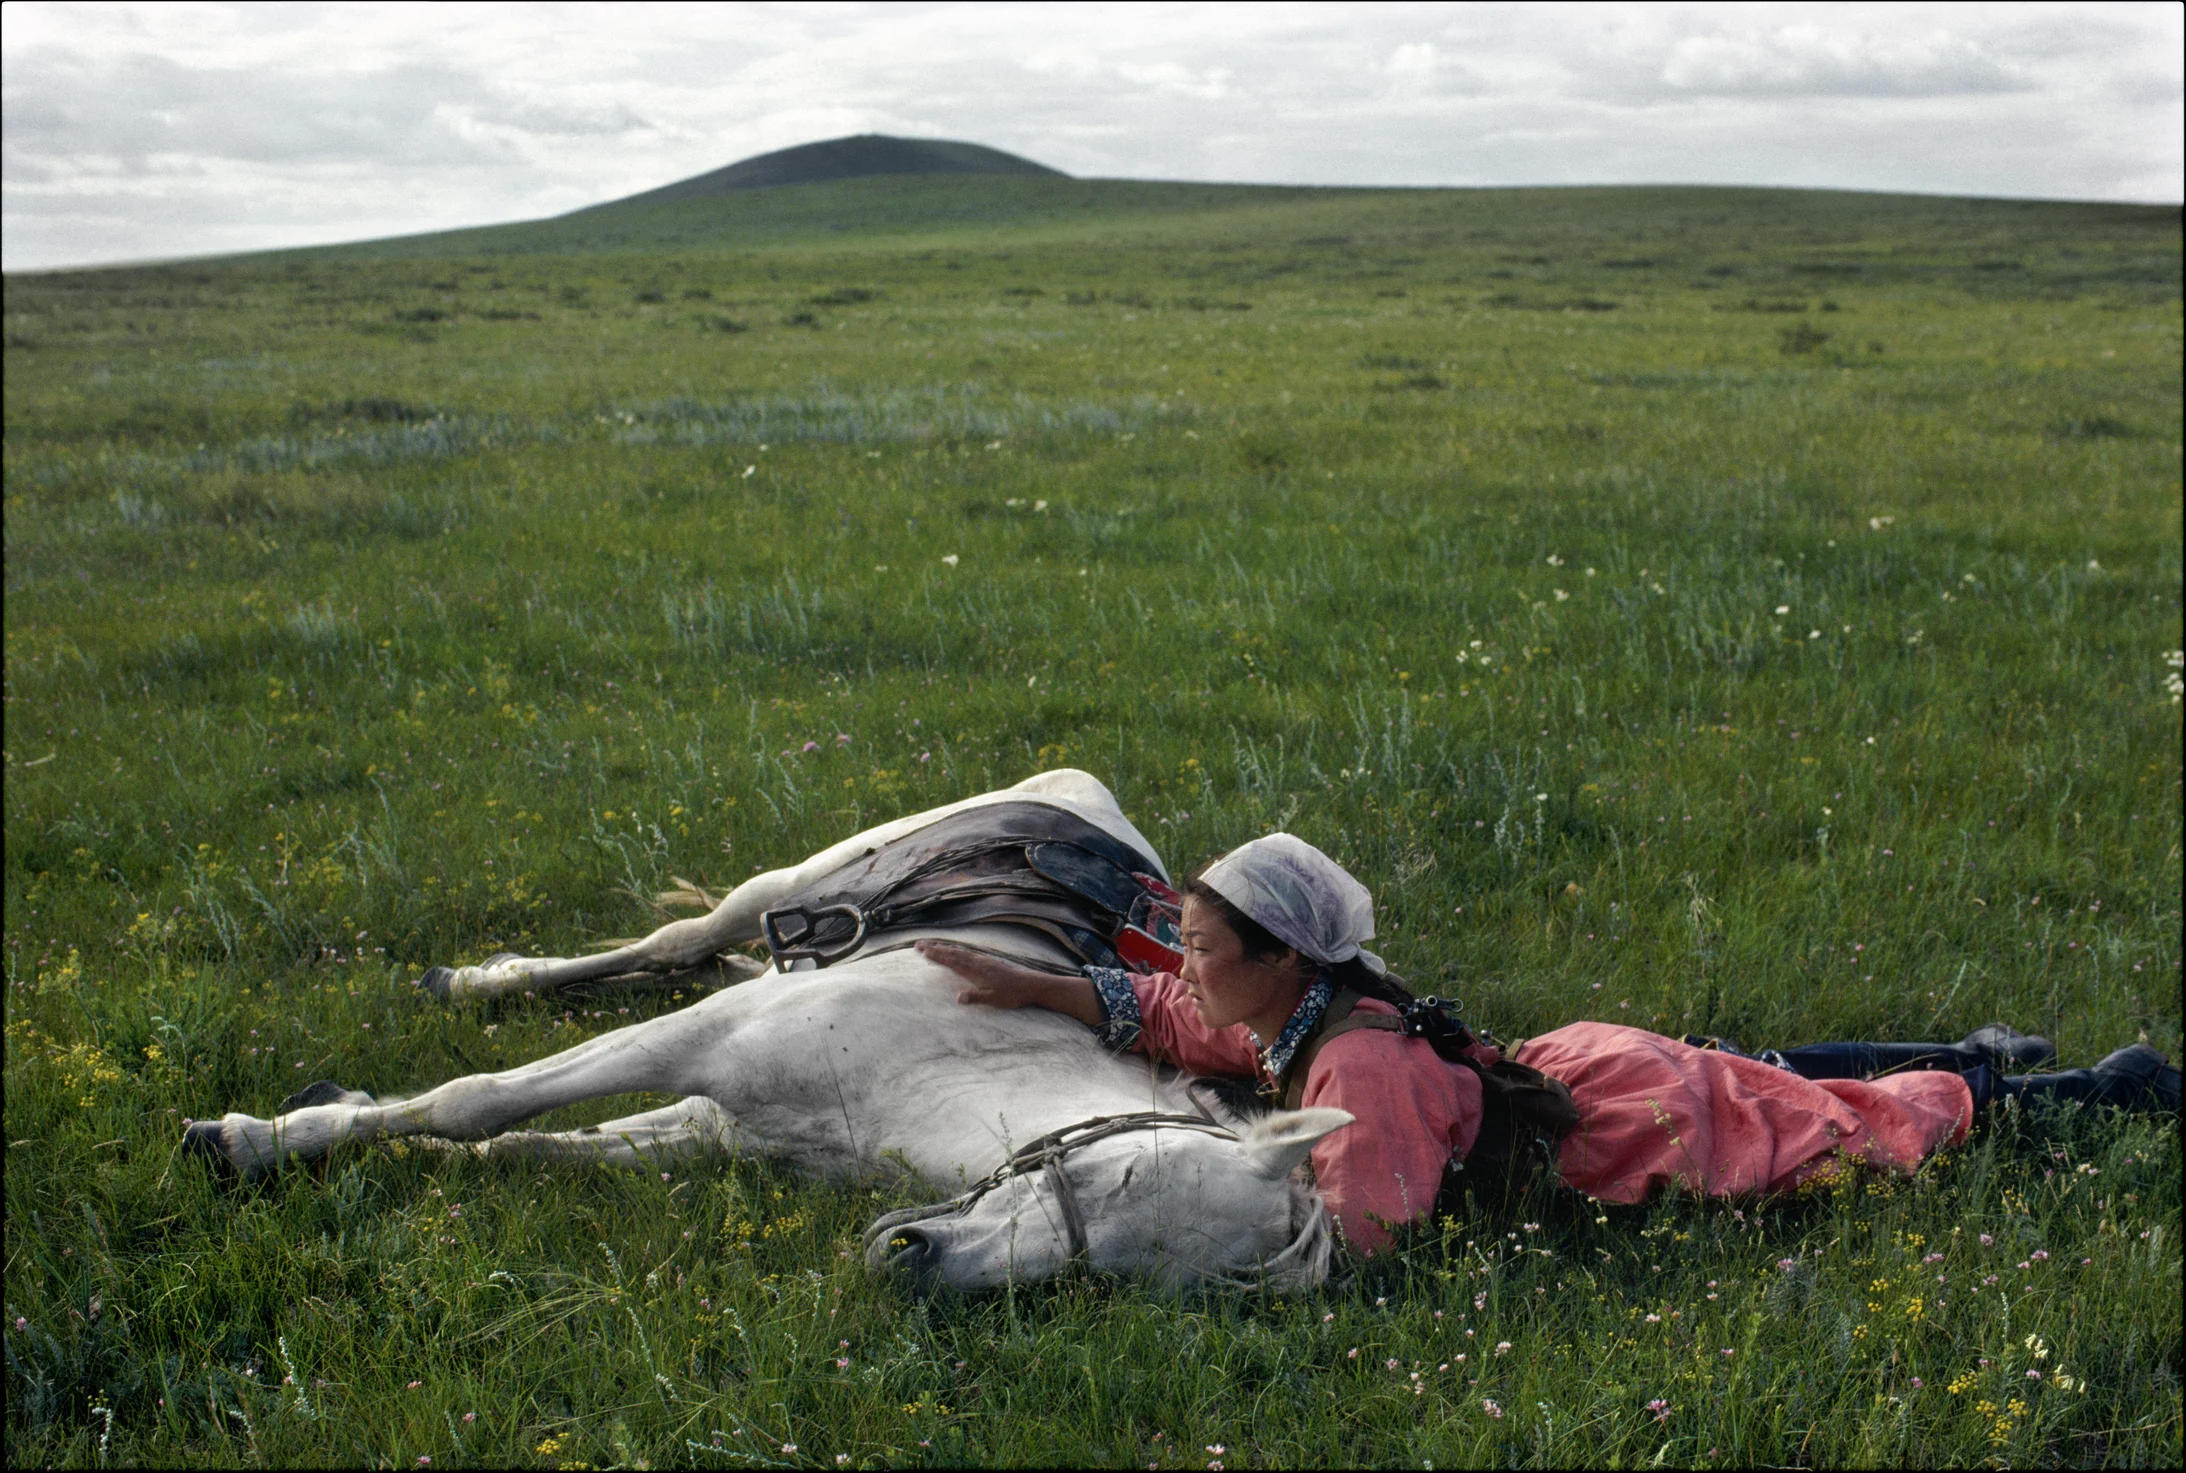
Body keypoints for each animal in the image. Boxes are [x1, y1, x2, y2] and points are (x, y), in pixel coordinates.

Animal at [187, 769, 1346, 1285]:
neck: (945, 1065)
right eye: (1116, 1177)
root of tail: (1089, 803)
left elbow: (535, 1146)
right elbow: (478, 1102)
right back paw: (475, 981)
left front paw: (356, 1133)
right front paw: (249, 1139)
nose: (913, 1259)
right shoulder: (695, 1042)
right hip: (787, 885)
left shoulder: (719, 1123)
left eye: (1111, 1277)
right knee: (678, 938)